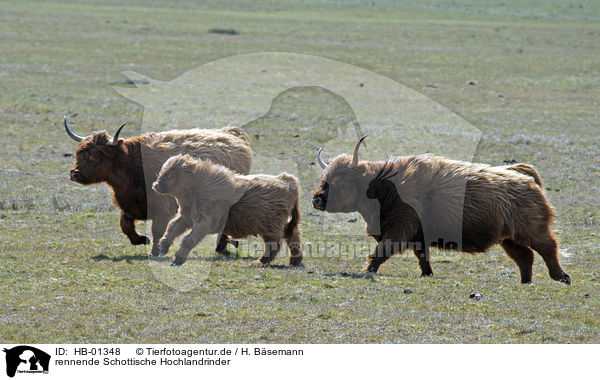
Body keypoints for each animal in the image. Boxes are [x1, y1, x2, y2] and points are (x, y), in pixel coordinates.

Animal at [64, 116, 252, 255]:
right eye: (78, 153)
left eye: (94, 156)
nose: (74, 173)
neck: (132, 169)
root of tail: (231, 133)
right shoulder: (131, 205)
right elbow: (125, 224)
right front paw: (140, 239)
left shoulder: (163, 208)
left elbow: (158, 230)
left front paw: (155, 251)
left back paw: (221, 246)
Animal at [152, 154, 302, 268]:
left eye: (171, 175)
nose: (155, 185)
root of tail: (287, 180)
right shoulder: (186, 216)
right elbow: (172, 226)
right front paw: (163, 246)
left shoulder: (205, 222)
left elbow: (189, 238)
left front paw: (178, 259)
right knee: (293, 237)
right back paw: (295, 261)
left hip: (271, 227)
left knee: (274, 244)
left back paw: (260, 261)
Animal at [314, 135, 572, 284]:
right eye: (324, 178)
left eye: (339, 180)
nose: (316, 199)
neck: (384, 189)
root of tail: (525, 177)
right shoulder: (417, 235)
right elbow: (422, 256)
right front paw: (427, 274)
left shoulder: (399, 228)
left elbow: (381, 251)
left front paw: (367, 270)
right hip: (509, 238)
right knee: (525, 256)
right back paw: (525, 282)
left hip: (532, 230)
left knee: (548, 248)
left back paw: (561, 277)